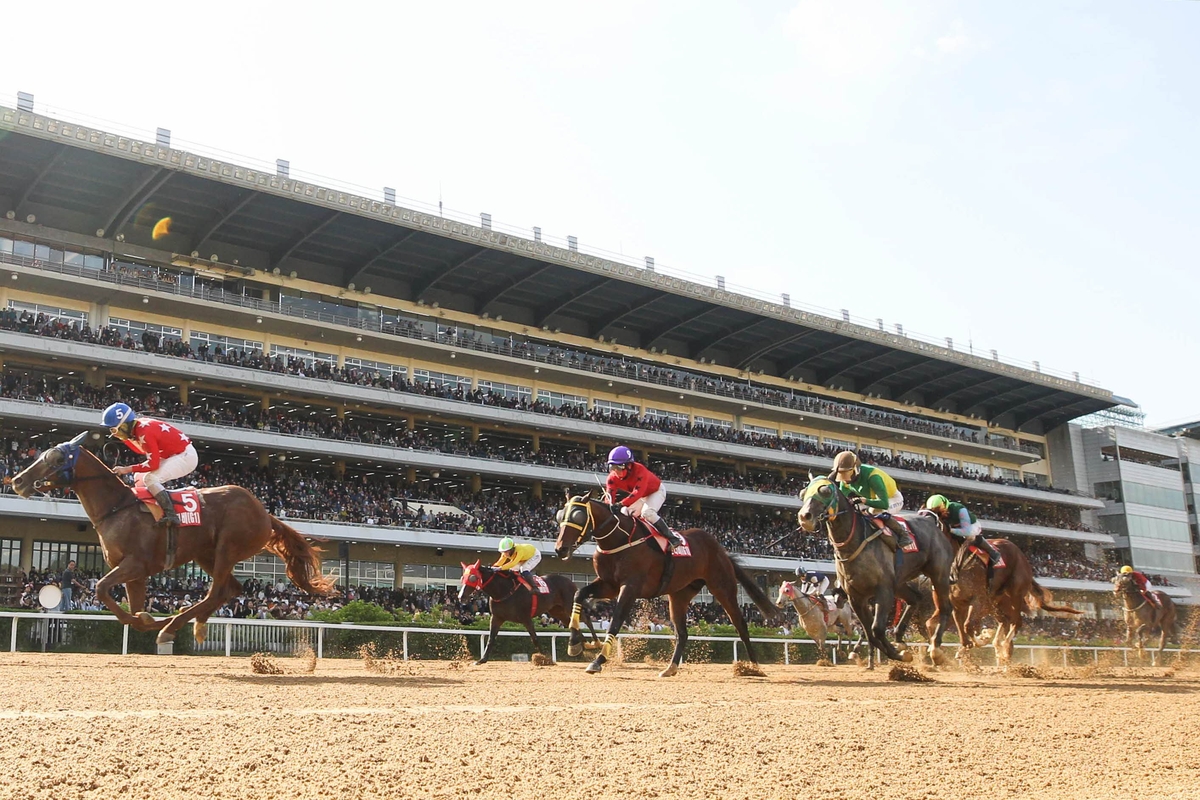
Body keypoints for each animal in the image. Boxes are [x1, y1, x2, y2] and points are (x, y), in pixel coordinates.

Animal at [11, 431, 336, 642]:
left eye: (55, 457)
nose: (17, 480)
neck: (118, 508)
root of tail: (265, 513)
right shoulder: (135, 574)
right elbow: (133, 610)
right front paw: (146, 618)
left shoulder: (136, 565)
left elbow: (103, 589)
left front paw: (151, 621)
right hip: (205, 554)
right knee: (228, 590)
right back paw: (190, 623)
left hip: (228, 547)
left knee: (216, 592)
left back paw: (173, 625)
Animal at [458, 561, 600, 666]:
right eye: (462, 577)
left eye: (472, 577)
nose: (461, 597)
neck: (504, 590)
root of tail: (570, 581)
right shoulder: (497, 618)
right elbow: (491, 639)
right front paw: (482, 660)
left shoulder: (526, 617)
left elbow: (535, 638)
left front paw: (545, 659)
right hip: (557, 611)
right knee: (572, 623)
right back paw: (581, 647)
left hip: (569, 605)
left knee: (586, 619)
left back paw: (596, 644)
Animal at [552, 494, 777, 676]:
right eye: (560, 516)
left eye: (578, 516)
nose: (560, 549)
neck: (619, 539)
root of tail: (720, 549)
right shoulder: (609, 585)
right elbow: (579, 595)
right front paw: (574, 644)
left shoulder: (630, 587)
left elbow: (615, 621)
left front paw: (598, 660)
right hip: (679, 594)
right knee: (682, 633)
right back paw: (671, 668)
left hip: (722, 587)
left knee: (740, 625)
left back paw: (754, 667)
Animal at [950, 542, 1084, 666]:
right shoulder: (960, 605)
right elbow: (964, 627)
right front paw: (969, 645)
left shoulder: (980, 601)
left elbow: (968, 625)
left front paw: (983, 639)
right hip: (998, 606)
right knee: (1003, 625)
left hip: (1014, 596)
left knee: (1015, 623)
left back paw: (1004, 651)